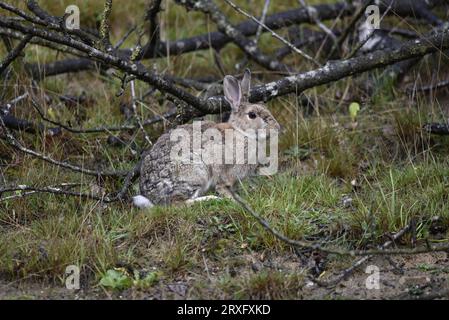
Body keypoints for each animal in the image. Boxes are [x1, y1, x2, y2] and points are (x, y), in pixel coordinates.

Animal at [135, 69, 278, 208]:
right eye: (252, 115)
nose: (277, 127)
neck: (241, 132)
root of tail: (152, 197)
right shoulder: (225, 173)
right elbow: (223, 188)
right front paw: (234, 201)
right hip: (196, 171)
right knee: (177, 203)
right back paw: (210, 199)